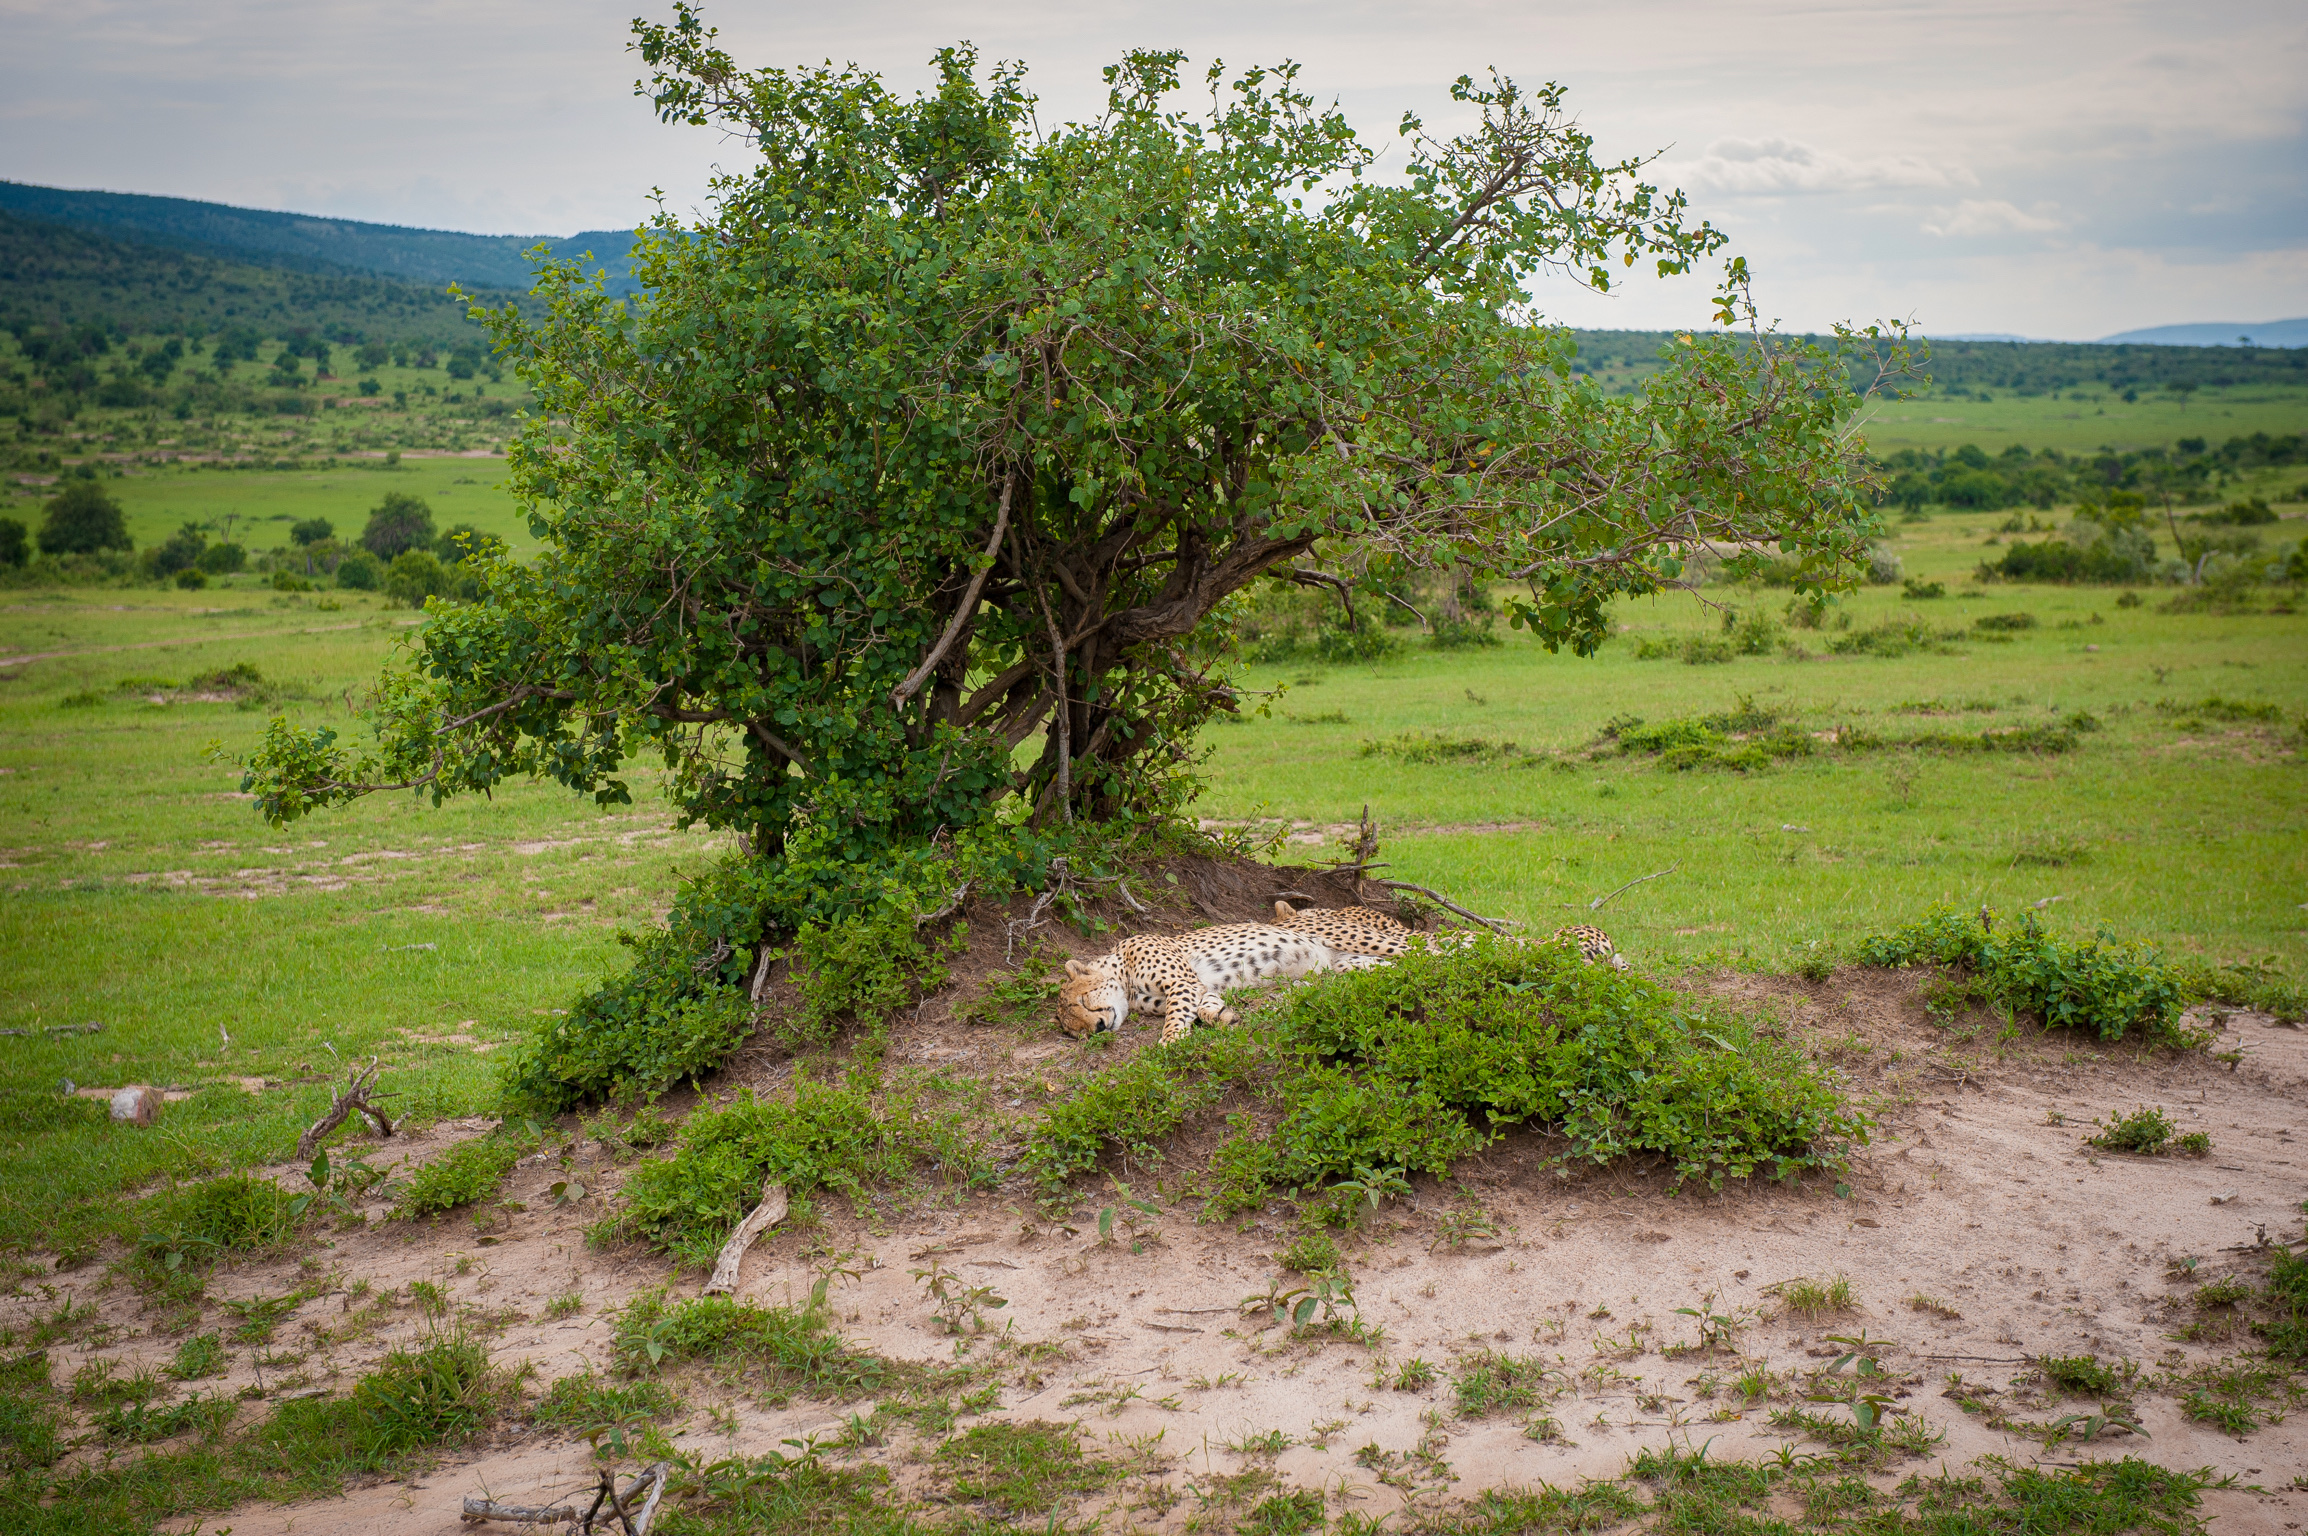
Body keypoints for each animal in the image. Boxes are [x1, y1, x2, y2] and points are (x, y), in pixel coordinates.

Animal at [1057, 904, 1403, 1047]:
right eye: (1075, 1032)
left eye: (1084, 1001)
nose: (1099, 1028)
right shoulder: (1197, 986)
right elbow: (1202, 1007)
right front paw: (1223, 1016)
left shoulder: (1183, 982)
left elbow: (1175, 1015)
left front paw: (1170, 1041)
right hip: (1353, 965)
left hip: (1358, 937)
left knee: (1417, 946)